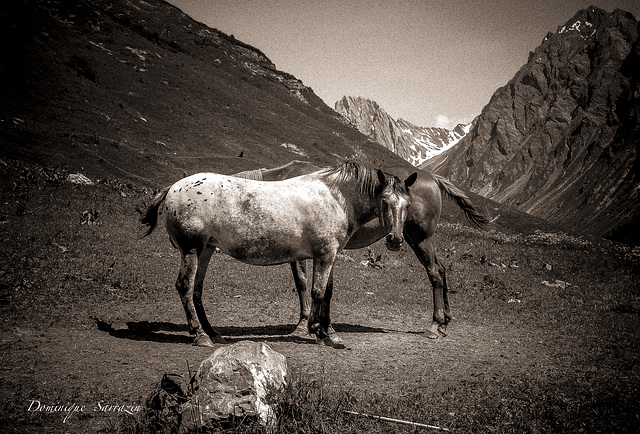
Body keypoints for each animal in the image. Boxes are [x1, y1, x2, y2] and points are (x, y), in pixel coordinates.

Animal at [141, 161, 416, 348]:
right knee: (185, 287)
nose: (395, 240)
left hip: (206, 250)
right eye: (384, 201)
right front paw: (319, 331)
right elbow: (317, 292)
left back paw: (213, 333)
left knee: (197, 290)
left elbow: (326, 292)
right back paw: (199, 335)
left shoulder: (329, 255)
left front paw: (328, 332)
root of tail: (174, 187)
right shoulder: (325, 255)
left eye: (407, 205)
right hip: (191, 250)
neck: (336, 197)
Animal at [236, 160, 490, 340]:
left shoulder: (304, 254)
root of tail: (432, 178)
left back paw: (435, 324)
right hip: (413, 238)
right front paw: (324, 326)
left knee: (435, 273)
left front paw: (304, 325)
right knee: (441, 270)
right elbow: (324, 287)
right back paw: (445, 322)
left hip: (420, 238)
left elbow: (303, 284)